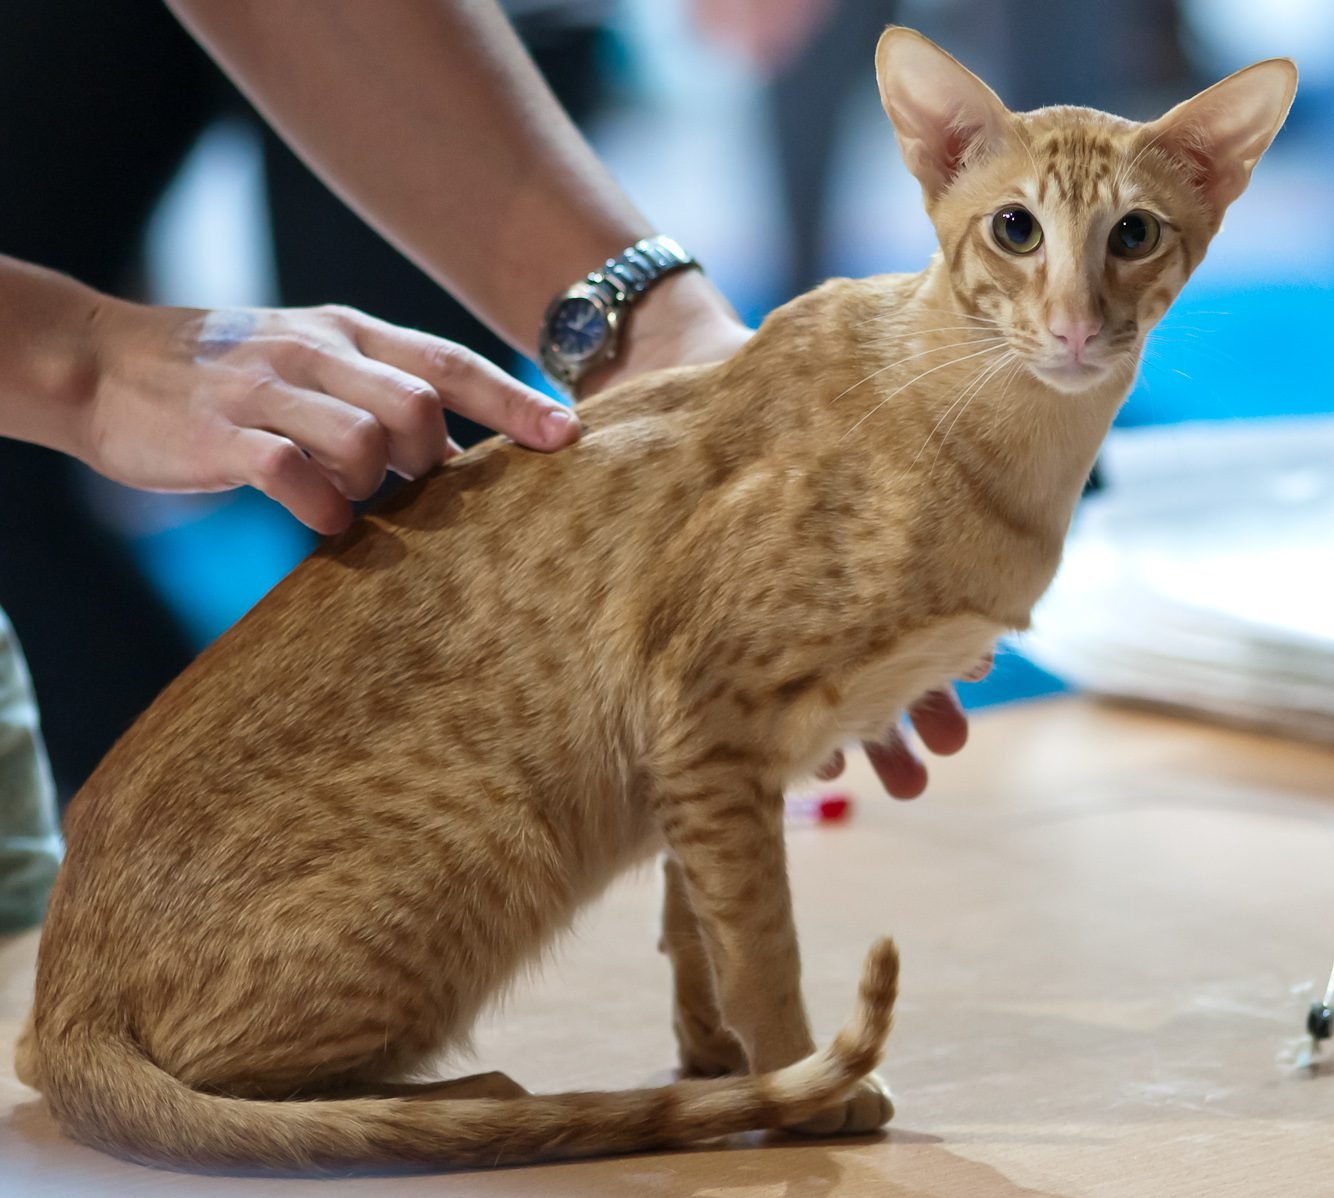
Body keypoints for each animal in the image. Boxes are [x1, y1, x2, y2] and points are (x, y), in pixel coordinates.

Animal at [15, 25, 1296, 1168]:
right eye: (1015, 229)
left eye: (1133, 233)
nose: (1078, 326)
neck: (1001, 442)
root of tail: (59, 997)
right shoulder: (703, 712)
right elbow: (762, 940)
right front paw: (801, 1081)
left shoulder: (698, 763)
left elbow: (697, 925)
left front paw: (717, 1058)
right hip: (493, 841)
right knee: (248, 1097)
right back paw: (468, 1101)